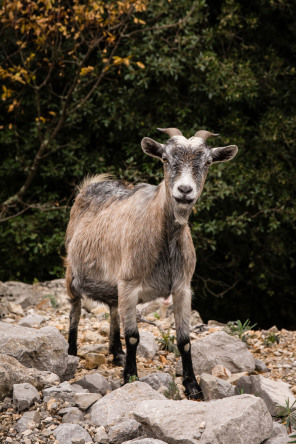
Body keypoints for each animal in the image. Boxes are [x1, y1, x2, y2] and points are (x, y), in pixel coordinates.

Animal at [65, 127, 238, 398]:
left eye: (208, 162)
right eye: (165, 159)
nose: (185, 190)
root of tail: (92, 185)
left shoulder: (182, 287)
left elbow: (184, 340)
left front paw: (192, 386)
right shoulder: (129, 283)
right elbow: (133, 336)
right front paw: (130, 377)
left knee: (113, 310)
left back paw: (117, 353)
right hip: (72, 274)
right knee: (75, 311)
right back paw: (72, 353)